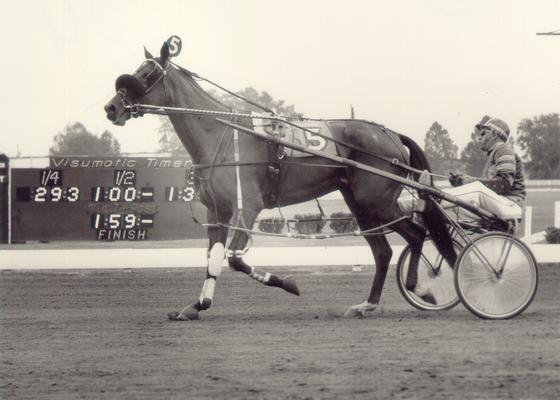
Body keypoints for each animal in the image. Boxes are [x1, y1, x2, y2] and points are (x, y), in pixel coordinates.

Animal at [104, 37, 456, 318]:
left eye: (146, 74)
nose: (111, 108)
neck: (221, 132)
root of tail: (390, 135)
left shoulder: (247, 208)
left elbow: (235, 259)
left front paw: (288, 282)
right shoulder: (217, 212)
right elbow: (213, 258)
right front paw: (196, 306)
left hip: (377, 201)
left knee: (416, 233)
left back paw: (418, 287)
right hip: (361, 204)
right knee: (384, 251)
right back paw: (367, 304)